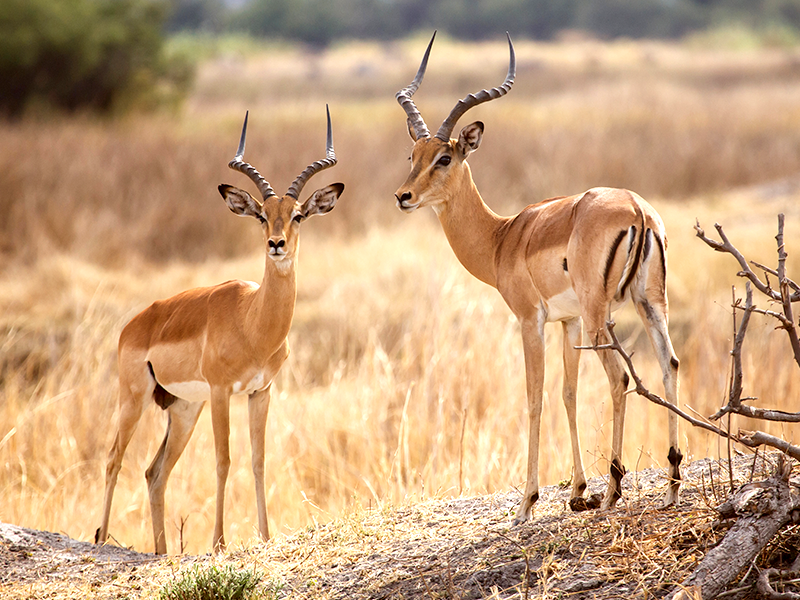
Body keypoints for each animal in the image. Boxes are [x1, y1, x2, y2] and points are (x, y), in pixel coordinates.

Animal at [94, 105, 344, 552]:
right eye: (261, 215)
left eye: (298, 215)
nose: (276, 244)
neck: (253, 322)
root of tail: (133, 325)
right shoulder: (222, 391)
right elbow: (224, 460)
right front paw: (219, 542)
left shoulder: (261, 391)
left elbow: (258, 460)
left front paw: (264, 535)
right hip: (135, 398)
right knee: (113, 459)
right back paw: (102, 540)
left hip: (183, 409)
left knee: (154, 473)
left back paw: (162, 552)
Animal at [394, 32, 680, 524]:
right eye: (414, 154)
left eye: (445, 157)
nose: (403, 196)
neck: (502, 237)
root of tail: (637, 209)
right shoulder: (567, 323)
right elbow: (568, 392)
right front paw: (577, 491)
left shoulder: (531, 320)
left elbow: (534, 398)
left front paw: (528, 502)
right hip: (648, 304)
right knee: (669, 364)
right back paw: (673, 482)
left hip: (600, 316)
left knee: (620, 378)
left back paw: (614, 489)